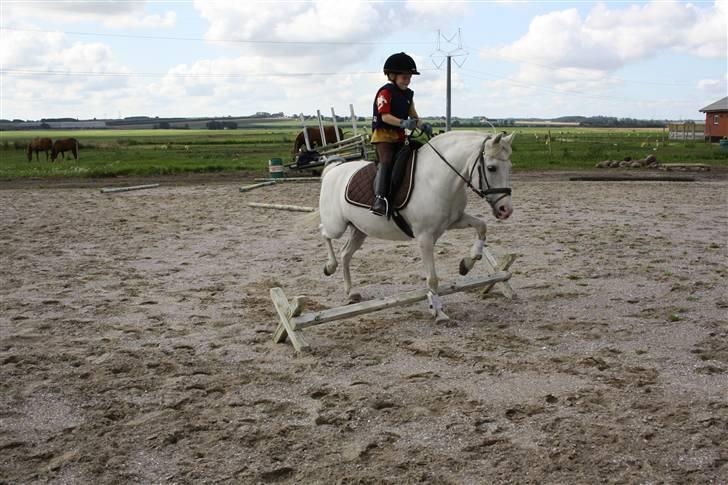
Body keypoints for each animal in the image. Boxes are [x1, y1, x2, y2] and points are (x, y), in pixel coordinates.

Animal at [318, 129, 512, 320]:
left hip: (360, 230)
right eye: (491, 168)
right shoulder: (425, 237)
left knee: (345, 253)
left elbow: (481, 226)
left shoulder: (454, 221)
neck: (437, 177)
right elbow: (432, 278)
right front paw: (438, 311)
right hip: (337, 226)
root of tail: (333, 170)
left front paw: (467, 263)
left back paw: (351, 292)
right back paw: (329, 267)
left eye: (509, 166)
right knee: (324, 233)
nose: (506, 210)